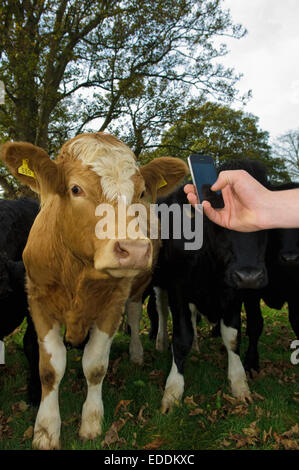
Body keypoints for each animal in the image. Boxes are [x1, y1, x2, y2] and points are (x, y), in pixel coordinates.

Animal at [0, 131, 188, 448]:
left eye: (140, 193)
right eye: (76, 189)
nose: (134, 249)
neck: (76, 269)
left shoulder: (112, 305)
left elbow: (96, 365)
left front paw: (90, 423)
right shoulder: (38, 302)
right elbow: (49, 369)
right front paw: (45, 430)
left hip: (137, 290)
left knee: (136, 315)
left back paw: (137, 353)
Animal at [150, 159, 270, 412]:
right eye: (216, 225)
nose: (250, 276)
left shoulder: (233, 292)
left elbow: (232, 337)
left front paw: (239, 383)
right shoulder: (177, 287)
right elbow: (181, 337)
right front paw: (173, 389)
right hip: (160, 283)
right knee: (161, 310)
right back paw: (161, 341)